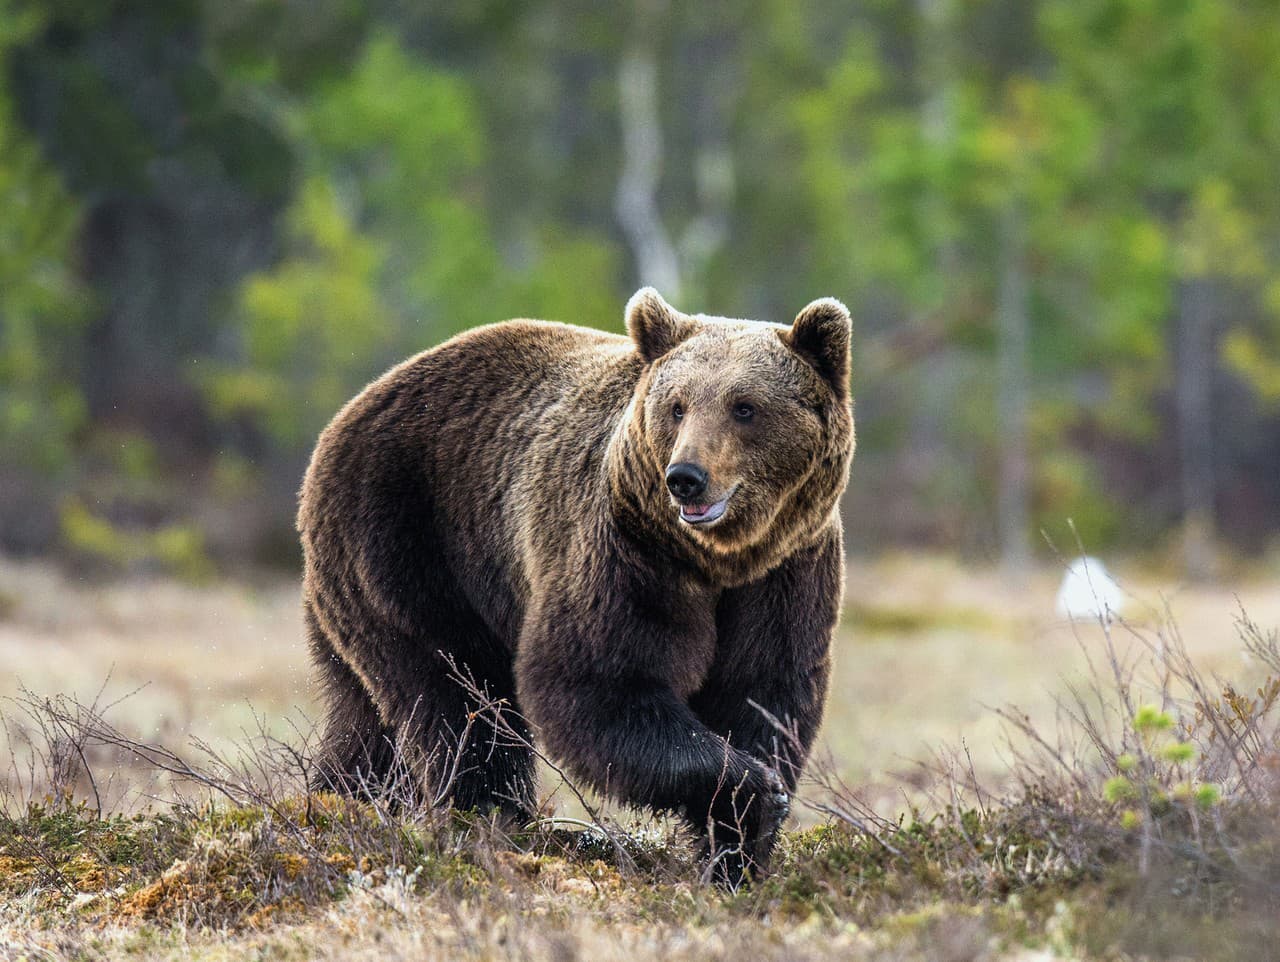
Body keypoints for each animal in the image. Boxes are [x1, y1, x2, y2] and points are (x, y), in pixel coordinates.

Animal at [299, 289, 855, 885]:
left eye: (744, 406)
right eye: (677, 405)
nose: (686, 477)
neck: (717, 560)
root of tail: (346, 414)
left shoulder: (787, 569)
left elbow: (762, 689)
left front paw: (737, 851)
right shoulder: (626, 550)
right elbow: (598, 680)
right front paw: (752, 793)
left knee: (367, 719)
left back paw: (335, 803)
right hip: (406, 541)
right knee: (459, 702)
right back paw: (489, 819)